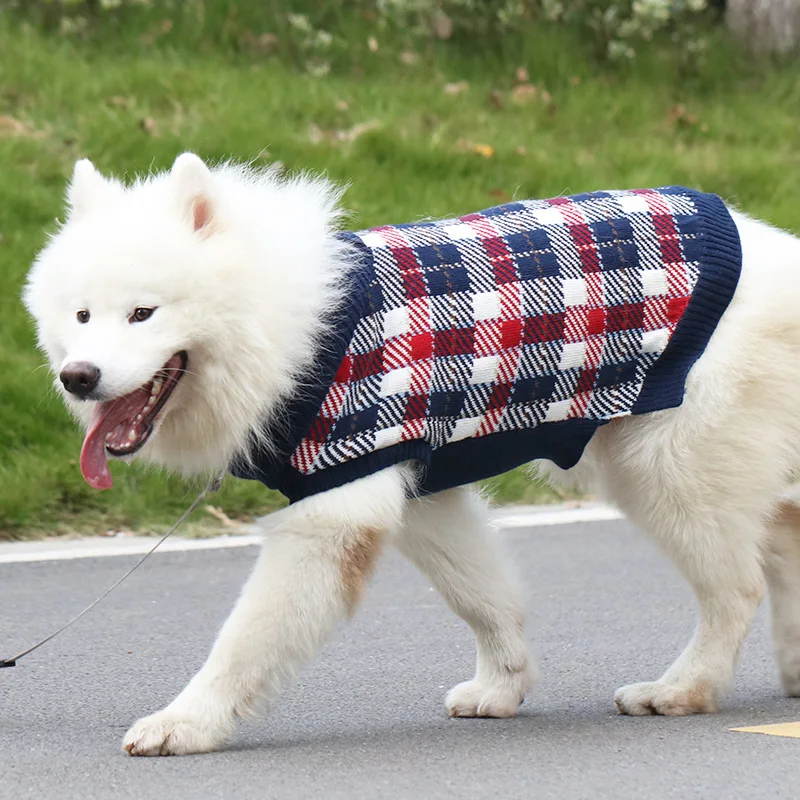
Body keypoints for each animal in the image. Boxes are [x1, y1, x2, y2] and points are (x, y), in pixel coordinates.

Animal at [21, 152, 800, 756]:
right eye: (81, 315)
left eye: (143, 313)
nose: (77, 377)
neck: (287, 333)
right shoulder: (421, 488)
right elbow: (484, 596)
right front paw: (503, 684)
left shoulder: (333, 510)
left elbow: (243, 641)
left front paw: (187, 722)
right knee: (782, 541)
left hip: (666, 467)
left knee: (736, 589)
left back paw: (682, 688)